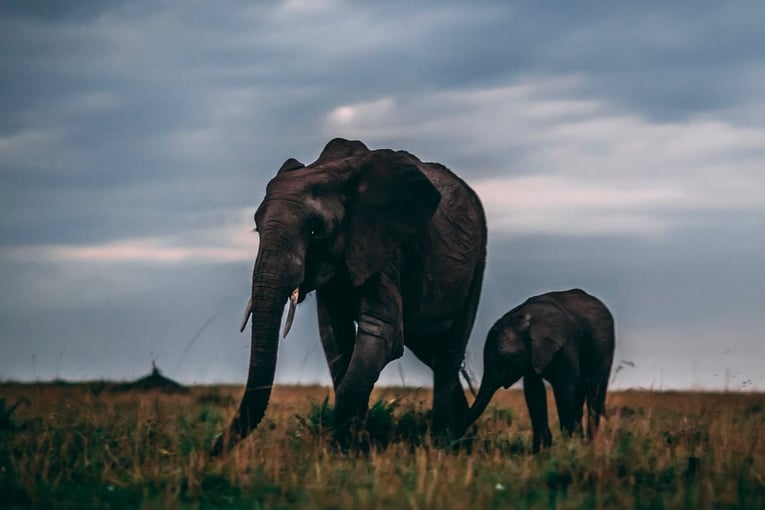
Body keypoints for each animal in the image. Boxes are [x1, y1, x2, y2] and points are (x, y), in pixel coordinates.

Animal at [210, 136, 484, 454]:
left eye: (315, 231)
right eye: (257, 230)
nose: (211, 451)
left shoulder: (385, 244)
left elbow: (382, 333)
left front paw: (346, 449)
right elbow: (334, 335)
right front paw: (358, 444)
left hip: (477, 261)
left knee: (449, 352)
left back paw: (445, 443)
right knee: (432, 350)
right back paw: (464, 436)